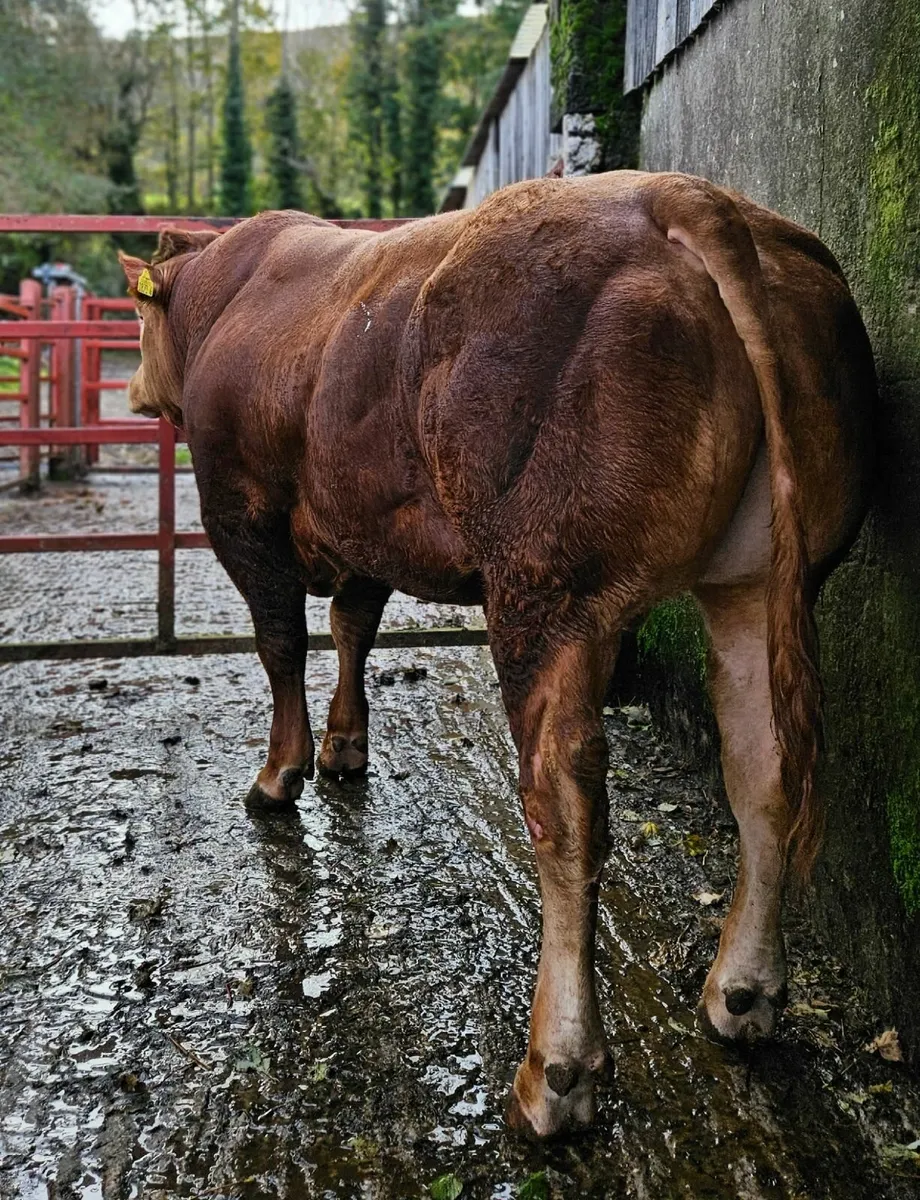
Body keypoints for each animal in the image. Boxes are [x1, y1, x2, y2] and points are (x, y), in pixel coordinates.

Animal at [118, 171, 874, 1139]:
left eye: (138, 318)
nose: (133, 387)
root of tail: (687, 195)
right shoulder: (369, 525)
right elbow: (354, 626)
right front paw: (345, 748)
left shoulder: (242, 515)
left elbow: (282, 643)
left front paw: (280, 773)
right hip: (762, 582)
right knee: (763, 771)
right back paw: (741, 995)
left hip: (543, 589)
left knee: (566, 807)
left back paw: (556, 1072)